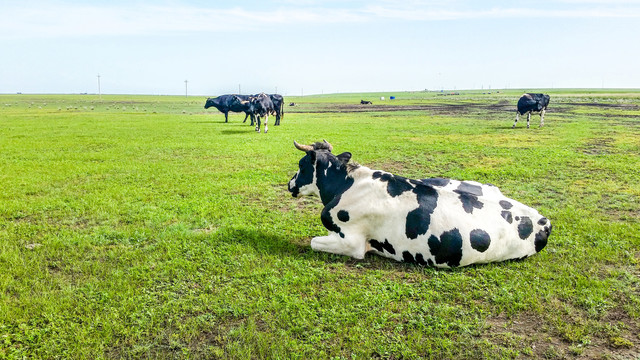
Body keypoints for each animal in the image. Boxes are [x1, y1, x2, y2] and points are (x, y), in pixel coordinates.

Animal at [288, 141, 552, 268]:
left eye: (301, 164)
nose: (289, 183)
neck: (346, 183)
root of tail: (542, 220)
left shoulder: (352, 243)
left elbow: (313, 242)